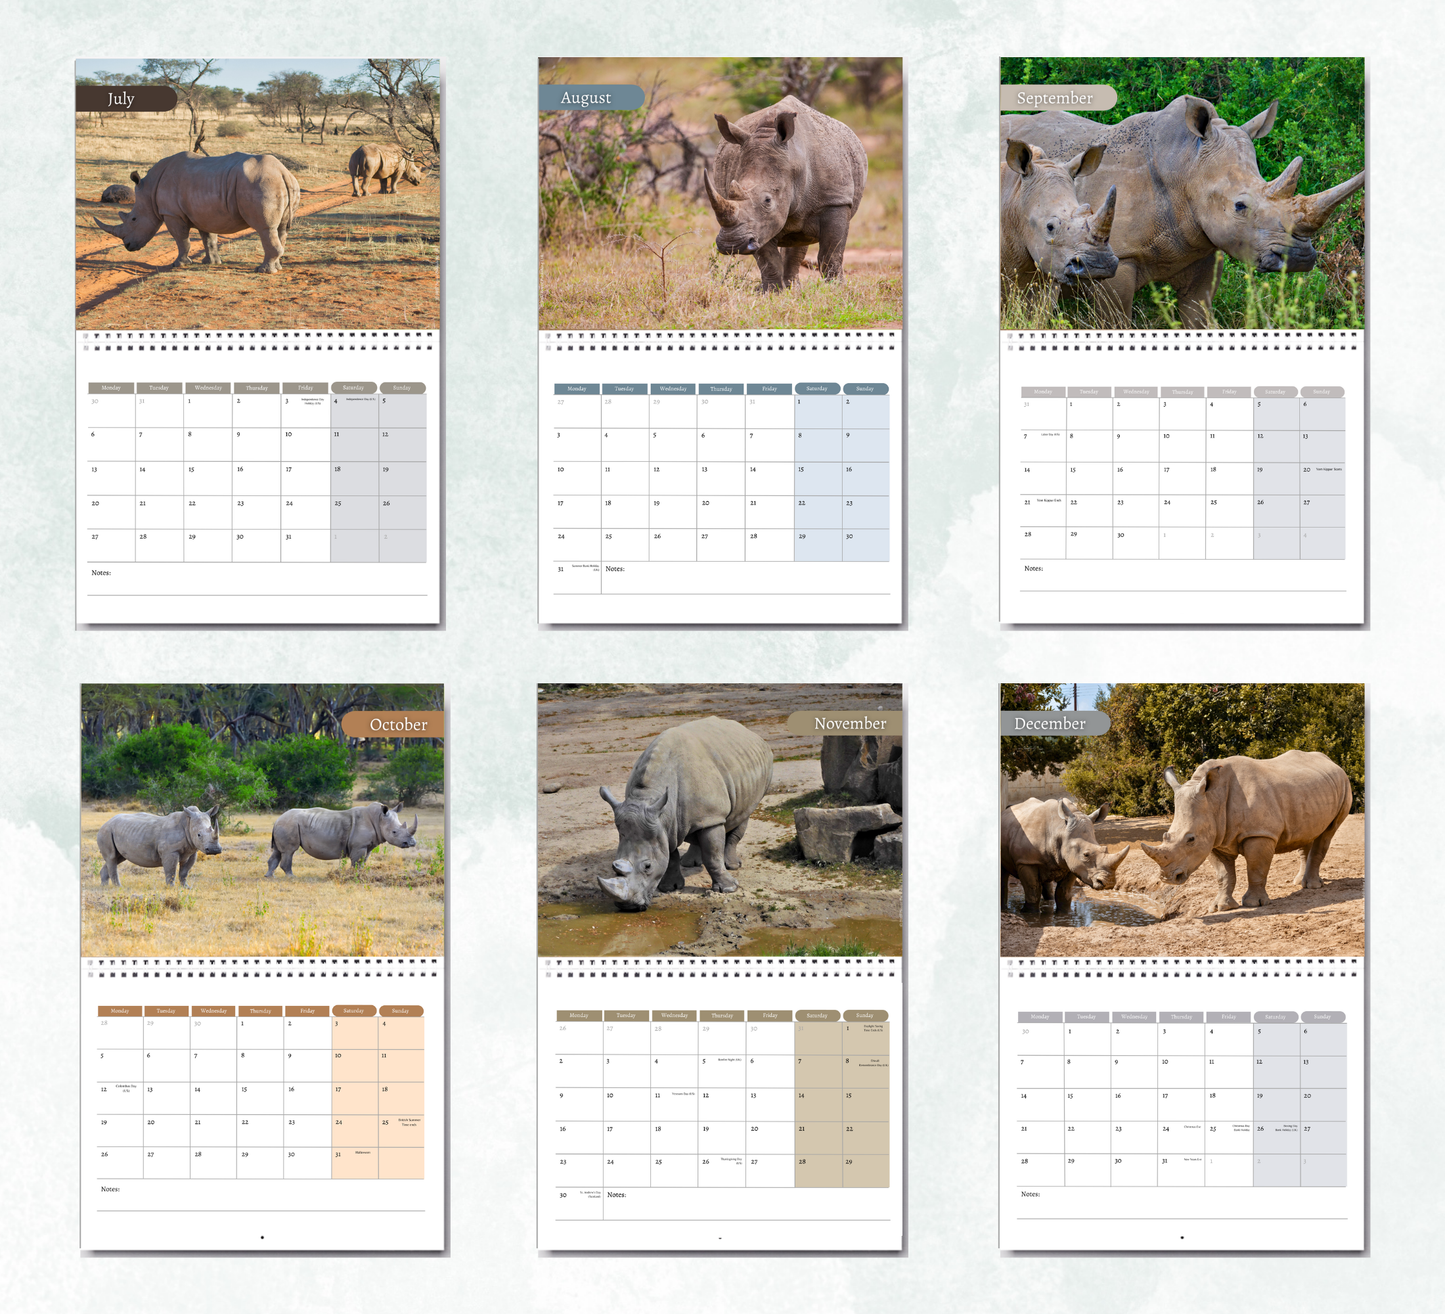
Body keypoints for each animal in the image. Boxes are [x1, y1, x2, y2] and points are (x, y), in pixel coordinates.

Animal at [92, 151, 301, 273]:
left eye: (133, 219)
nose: (127, 246)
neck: (149, 190)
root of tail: (282, 171)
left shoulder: (171, 213)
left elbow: (181, 240)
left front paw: (179, 264)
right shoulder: (204, 212)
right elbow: (208, 239)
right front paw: (211, 263)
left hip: (261, 183)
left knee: (265, 228)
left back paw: (263, 270)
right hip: (284, 182)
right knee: (281, 229)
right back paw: (277, 267)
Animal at [265, 802, 418, 877]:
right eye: (394, 832)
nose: (411, 843)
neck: (378, 818)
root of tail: (277, 820)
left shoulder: (367, 846)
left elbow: (363, 861)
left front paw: (361, 875)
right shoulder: (359, 846)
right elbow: (356, 862)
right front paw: (354, 876)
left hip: (284, 825)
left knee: (278, 851)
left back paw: (269, 876)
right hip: (288, 825)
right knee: (289, 851)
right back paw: (291, 876)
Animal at [598, 716, 774, 910]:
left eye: (648, 866)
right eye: (614, 865)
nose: (628, 907)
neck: (647, 797)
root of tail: (748, 731)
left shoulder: (711, 816)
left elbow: (713, 854)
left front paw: (729, 889)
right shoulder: (663, 822)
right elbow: (670, 855)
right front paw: (671, 888)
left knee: (741, 817)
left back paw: (732, 866)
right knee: (695, 826)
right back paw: (690, 863)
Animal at [704, 94, 868, 290]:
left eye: (768, 200)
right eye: (729, 194)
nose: (731, 245)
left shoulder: (836, 200)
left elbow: (831, 254)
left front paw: (836, 289)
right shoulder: (758, 225)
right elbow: (769, 260)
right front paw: (771, 292)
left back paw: (794, 288)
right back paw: (791, 288)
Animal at [1140, 750, 1352, 911]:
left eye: (1190, 839)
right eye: (1165, 836)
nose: (1167, 878)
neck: (1214, 799)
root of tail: (1332, 762)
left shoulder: (1259, 833)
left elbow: (1256, 869)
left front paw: (1254, 904)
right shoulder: (1214, 838)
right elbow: (1224, 875)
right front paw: (1220, 907)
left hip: (1344, 785)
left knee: (1327, 833)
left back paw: (1313, 886)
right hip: (1309, 792)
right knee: (1307, 832)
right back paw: (1299, 883)